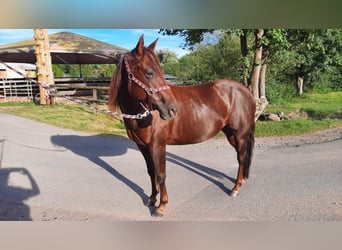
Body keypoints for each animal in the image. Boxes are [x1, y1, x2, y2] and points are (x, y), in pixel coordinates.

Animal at [108, 35, 255, 217]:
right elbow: (151, 172)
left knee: (241, 158)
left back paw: (235, 188)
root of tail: (246, 91)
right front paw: (151, 199)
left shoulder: (157, 145)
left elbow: (161, 174)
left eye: (160, 71)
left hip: (240, 134)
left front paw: (161, 206)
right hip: (231, 134)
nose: (172, 109)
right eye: (149, 73)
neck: (144, 114)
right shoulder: (143, 146)